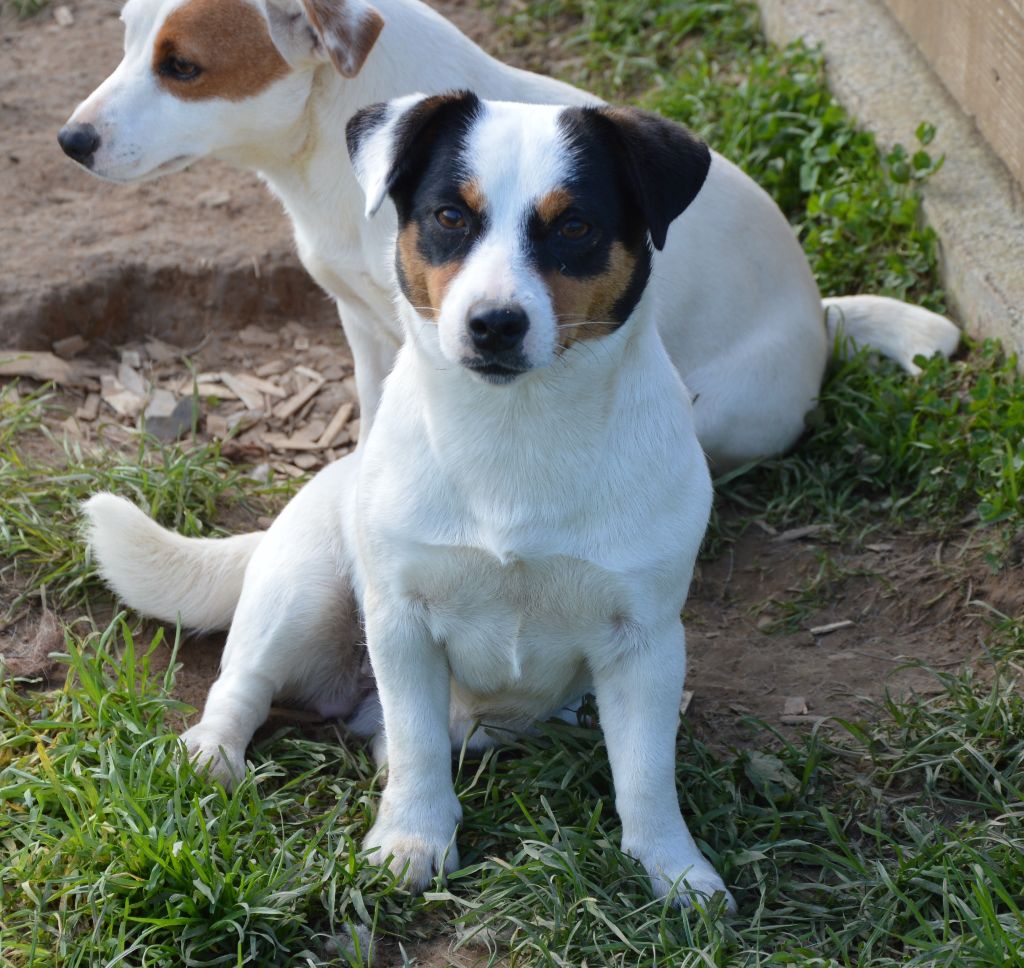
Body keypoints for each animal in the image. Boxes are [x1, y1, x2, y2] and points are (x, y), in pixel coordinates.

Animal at [61, 0, 958, 473]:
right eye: (126, 35)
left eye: (182, 67)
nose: (71, 140)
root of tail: (820, 316)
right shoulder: (365, 322)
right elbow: (376, 408)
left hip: (720, 412)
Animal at [86, 88, 737, 905]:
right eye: (450, 216)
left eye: (575, 227)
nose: (494, 324)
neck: (514, 433)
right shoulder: (401, 618)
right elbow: (420, 743)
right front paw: (412, 838)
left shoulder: (644, 640)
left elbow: (648, 773)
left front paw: (675, 870)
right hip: (299, 595)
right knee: (246, 687)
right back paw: (211, 754)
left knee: (393, 732)